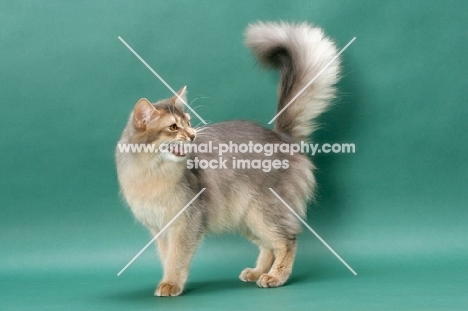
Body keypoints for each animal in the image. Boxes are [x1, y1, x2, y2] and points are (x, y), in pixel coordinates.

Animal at [114, 22, 338, 298]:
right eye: (174, 127)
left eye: (188, 122)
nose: (193, 135)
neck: (151, 173)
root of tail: (280, 135)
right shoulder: (160, 229)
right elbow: (167, 258)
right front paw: (167, 281)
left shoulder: (186, 222)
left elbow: (178, 257)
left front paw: (172, 284)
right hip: (245, 217)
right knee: (269, 246)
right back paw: (257, 273)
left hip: (263, 211)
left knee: (287, 241)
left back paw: (275, 277)